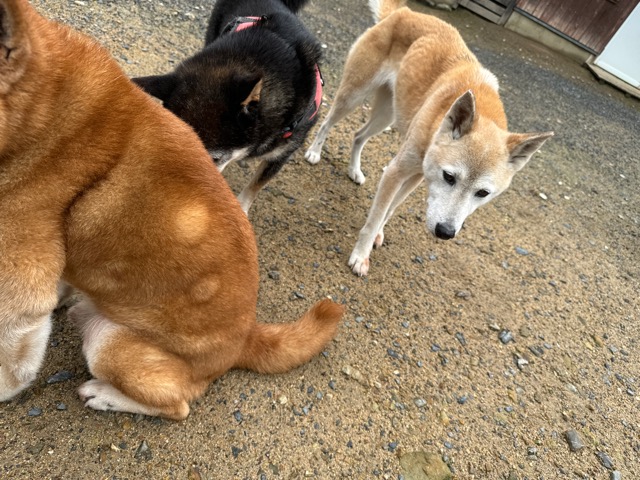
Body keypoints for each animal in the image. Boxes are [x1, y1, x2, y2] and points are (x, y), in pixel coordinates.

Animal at [305, 0, 553, 276]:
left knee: (358, 135)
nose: (445, 232)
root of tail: (405, 12)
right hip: (354, 95)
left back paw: (354, 170)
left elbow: (389, 210)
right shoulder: (396, 172)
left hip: (387, 115)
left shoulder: (416, 175)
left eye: (483, 193)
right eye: (449, 177)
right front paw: (360, 256)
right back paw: (314, 152)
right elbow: (375, 218)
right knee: (327, 121)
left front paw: (378, 234)